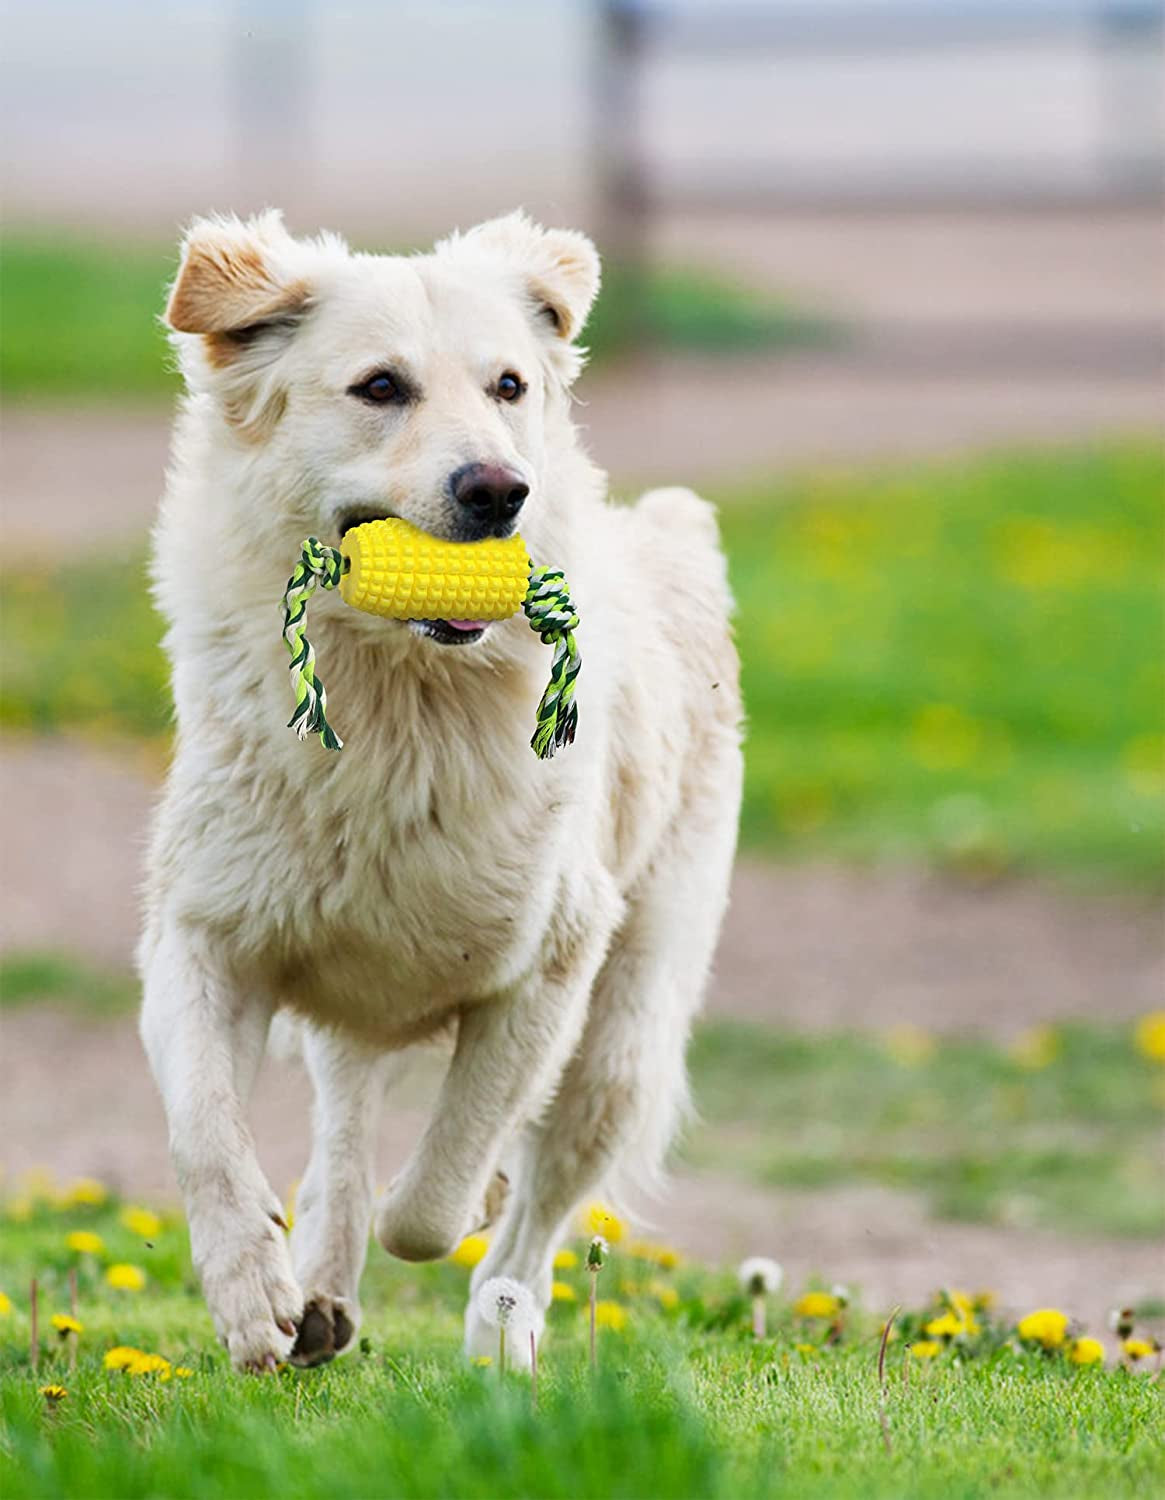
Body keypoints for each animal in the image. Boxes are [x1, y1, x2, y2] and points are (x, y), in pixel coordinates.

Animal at [140, 208, 740, 1374]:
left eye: (509, 385)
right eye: (380, 387)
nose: (499, 490)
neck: (399, 697)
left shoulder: (548, 966)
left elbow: (436, 1194)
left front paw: (463, 1200)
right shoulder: (204, 934)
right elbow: (203, 1129)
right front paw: (250, 1293)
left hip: (622, 1042)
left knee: (534, 1217)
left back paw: (502, 1323)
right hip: (346, 1004)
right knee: (340, 1135)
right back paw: (320, 1291)